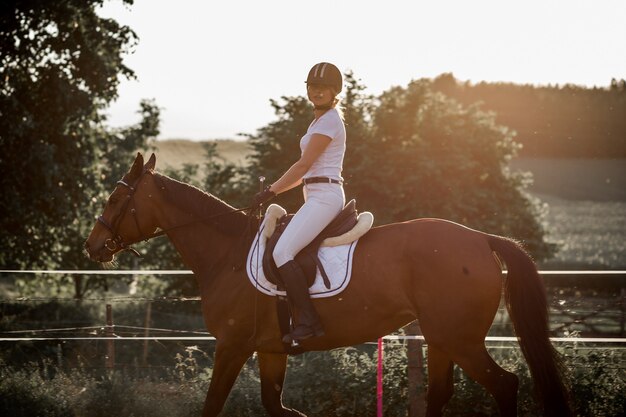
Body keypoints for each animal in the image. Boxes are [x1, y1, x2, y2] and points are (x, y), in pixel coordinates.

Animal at [84, 154, 572, 416]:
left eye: (115, 198)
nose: (92, 246)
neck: (226, 252)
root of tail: (482, 238)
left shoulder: (233, 346)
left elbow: (214, 404)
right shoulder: (270, 349)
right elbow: (276, 406)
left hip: (460, 338)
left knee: (503, 385)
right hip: (441, 338)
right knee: (440, 393)